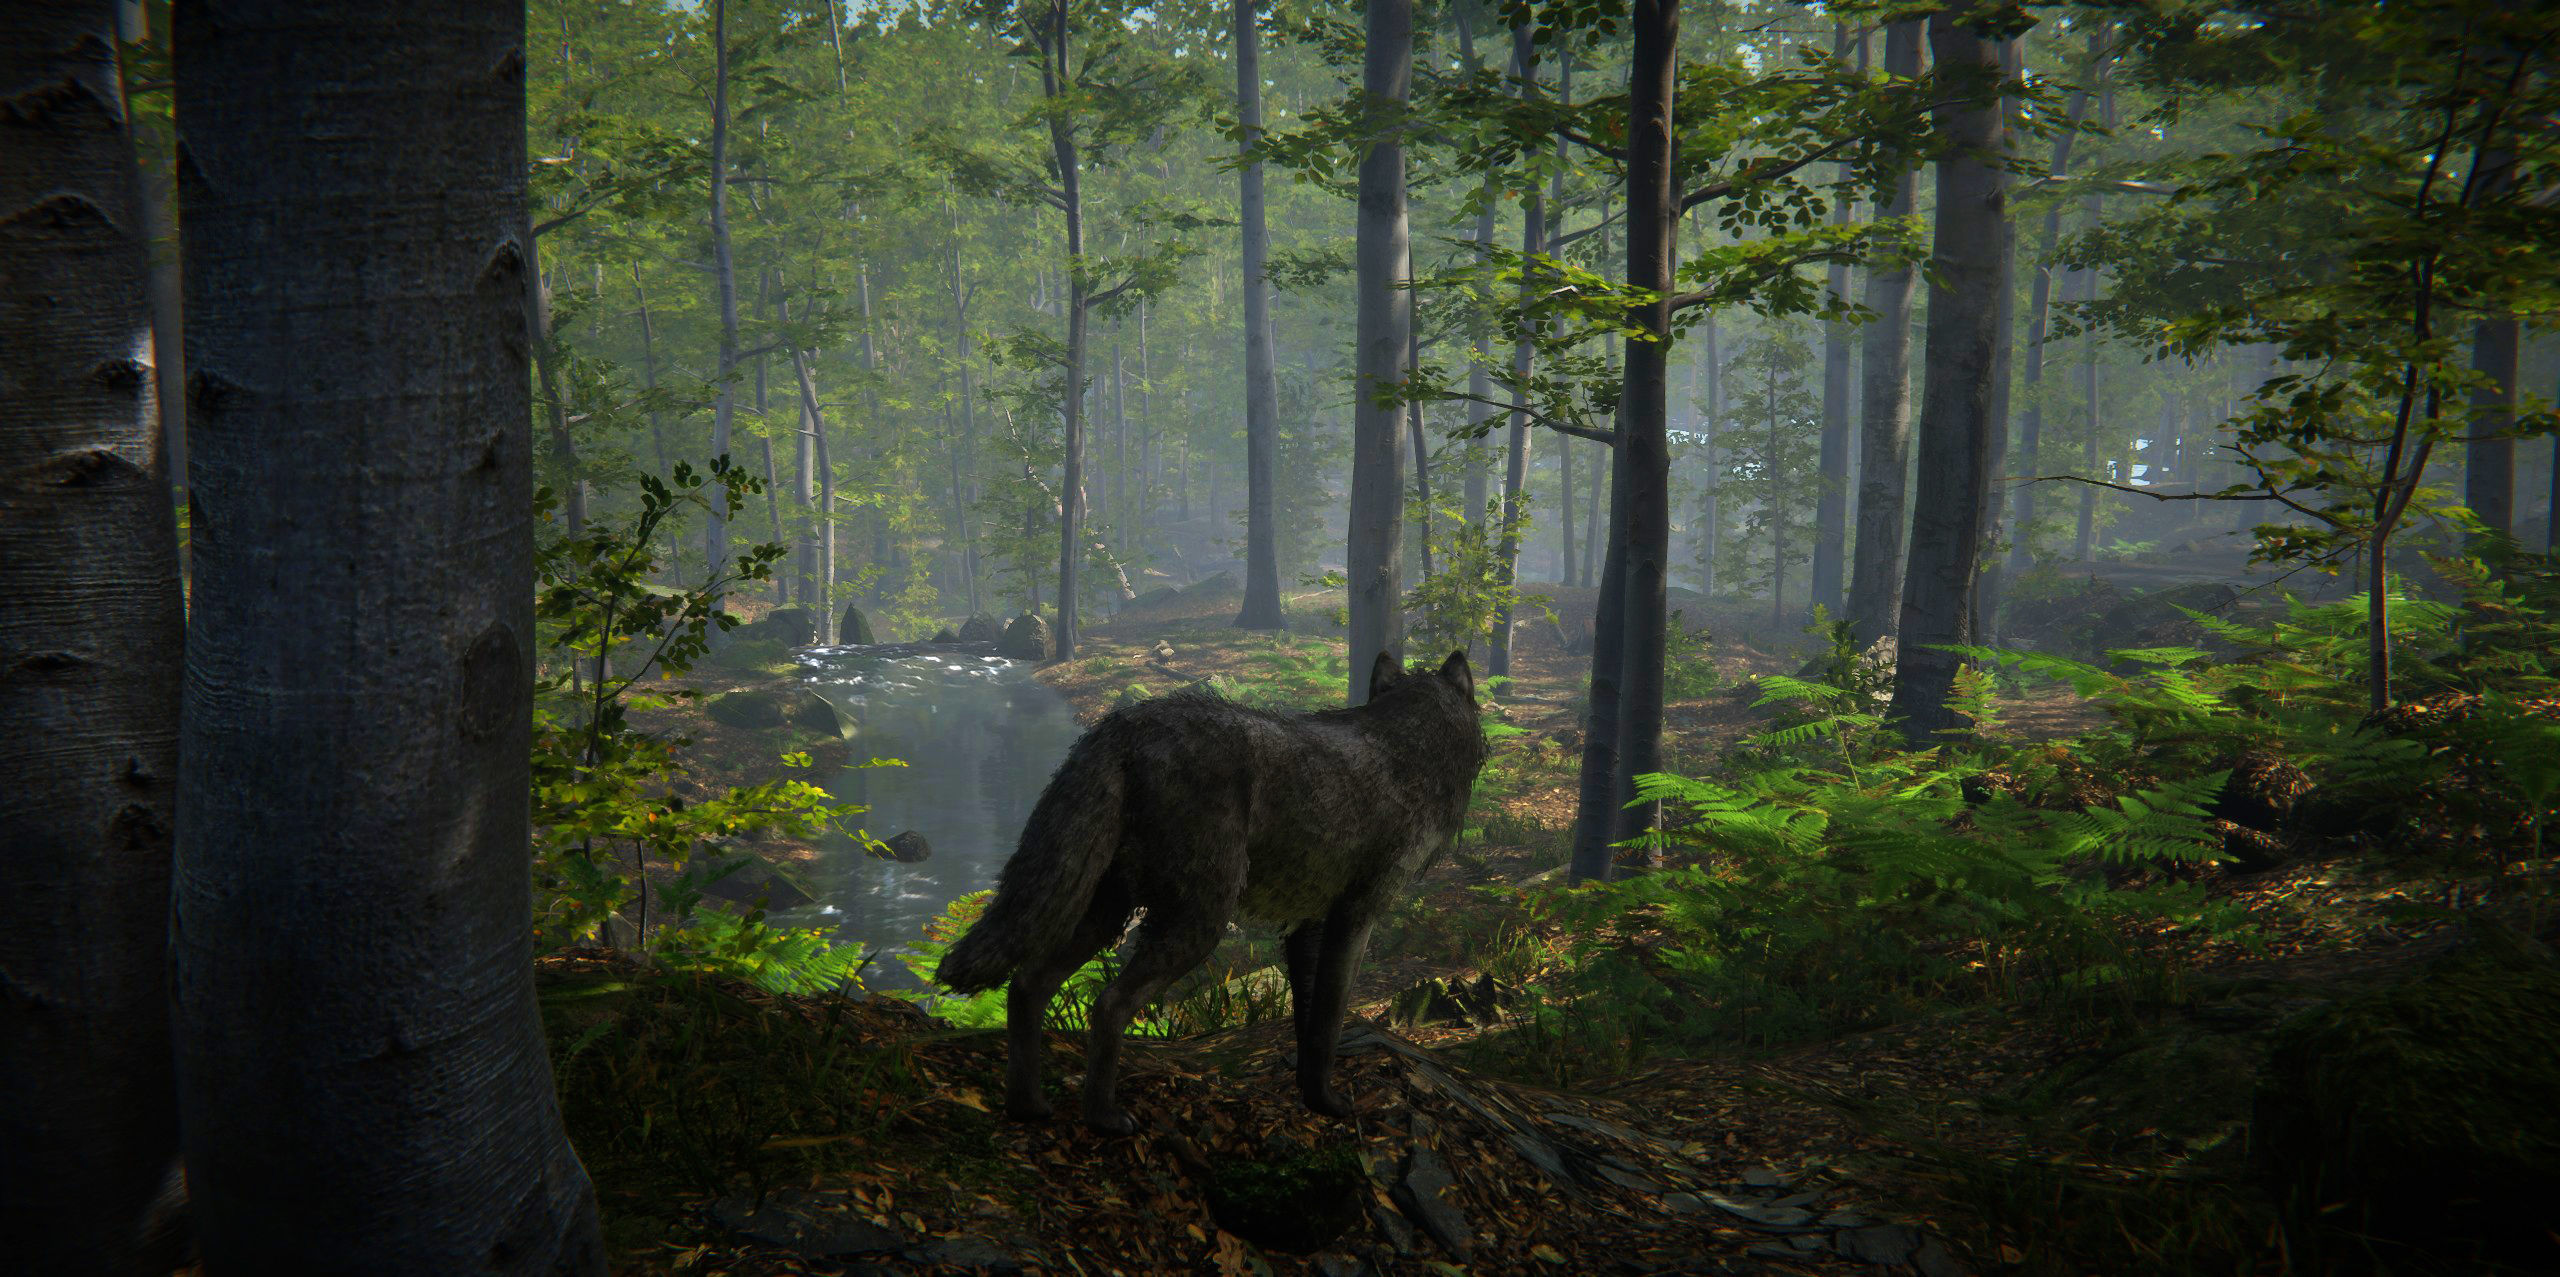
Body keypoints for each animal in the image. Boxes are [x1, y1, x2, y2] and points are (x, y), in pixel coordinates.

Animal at [936, 649, 1488, 1135]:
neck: (1409, 747)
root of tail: (1123, 725)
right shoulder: (1355, 916)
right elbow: (1330, 1018)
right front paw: (1331, 1104)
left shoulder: (1306, 926)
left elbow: (1307, 1023)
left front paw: (1310, 1098)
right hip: (1197, 924)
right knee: (1108, 1003)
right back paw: (1104, 1119)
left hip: (1105, 912)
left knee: (1028, 983)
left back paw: (1027, 1106)